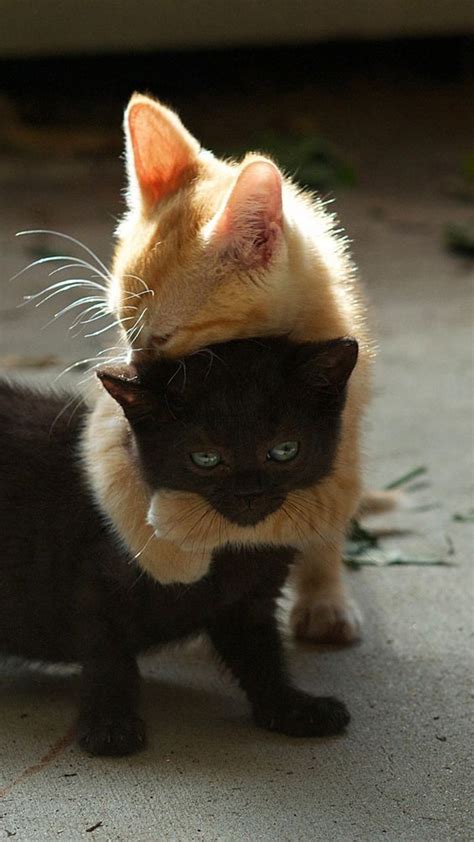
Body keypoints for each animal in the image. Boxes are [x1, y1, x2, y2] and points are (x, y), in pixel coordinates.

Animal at [0, 334, 356, 756]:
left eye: (285, 450)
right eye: (205, 458)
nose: (249, 493)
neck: (230, 547)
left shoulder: (248, 604)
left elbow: (262, 655)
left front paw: (290, 709)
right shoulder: (97, 586)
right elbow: (109, 657)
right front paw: (109, 724)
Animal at [83, 93, 376, 644]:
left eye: (163, 338)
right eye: (123, 327)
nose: (136, 370)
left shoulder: (335, 443)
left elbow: (299, 513)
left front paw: (179, 524)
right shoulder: (111, 418)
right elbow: (112, 469)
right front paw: (164, 550)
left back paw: (324, 601)